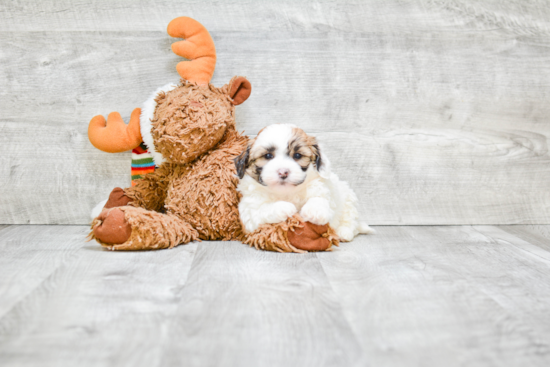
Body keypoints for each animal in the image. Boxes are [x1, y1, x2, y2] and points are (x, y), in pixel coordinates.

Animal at [235, 125, 378, 243]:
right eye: (268, 156)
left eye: (297, 155)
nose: (283, 172)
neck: (287, 193)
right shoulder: (249, 211)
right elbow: (262, 209)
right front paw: (284, 207)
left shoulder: (323, 189)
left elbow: (319, 199)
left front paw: (315, 210)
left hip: (348, 198)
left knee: (350, 220)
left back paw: (344, 232)